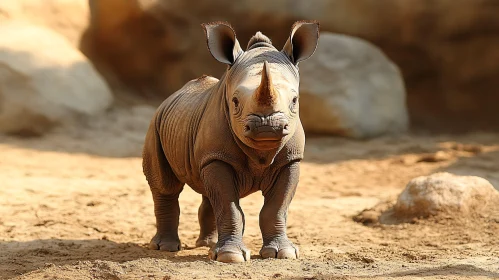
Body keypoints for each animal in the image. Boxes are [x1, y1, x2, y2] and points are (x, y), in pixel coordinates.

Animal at [143, 20, 320, 262]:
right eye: (235, 101)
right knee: (166, 187)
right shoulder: (218, 157)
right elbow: (229, 207)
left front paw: (282, 253)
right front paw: (230, 257)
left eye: (295, 100)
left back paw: (207, 245)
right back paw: (165, 248)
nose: (267, 126)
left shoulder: (290, 160)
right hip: (156, 124)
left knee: (207, 190)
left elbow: (275, 207)